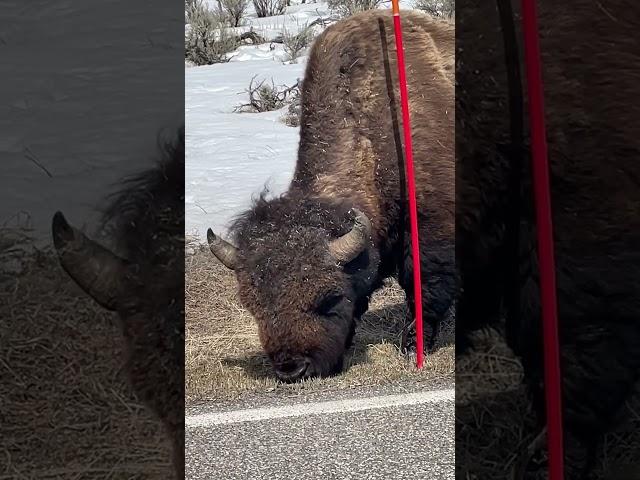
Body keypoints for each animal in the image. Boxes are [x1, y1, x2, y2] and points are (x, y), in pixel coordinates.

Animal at [209, 10, 456, 382]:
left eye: (330, 299)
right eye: (254, 306)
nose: (292, 368)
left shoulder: (432, 232)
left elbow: (424, 286)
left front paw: (414, 345)